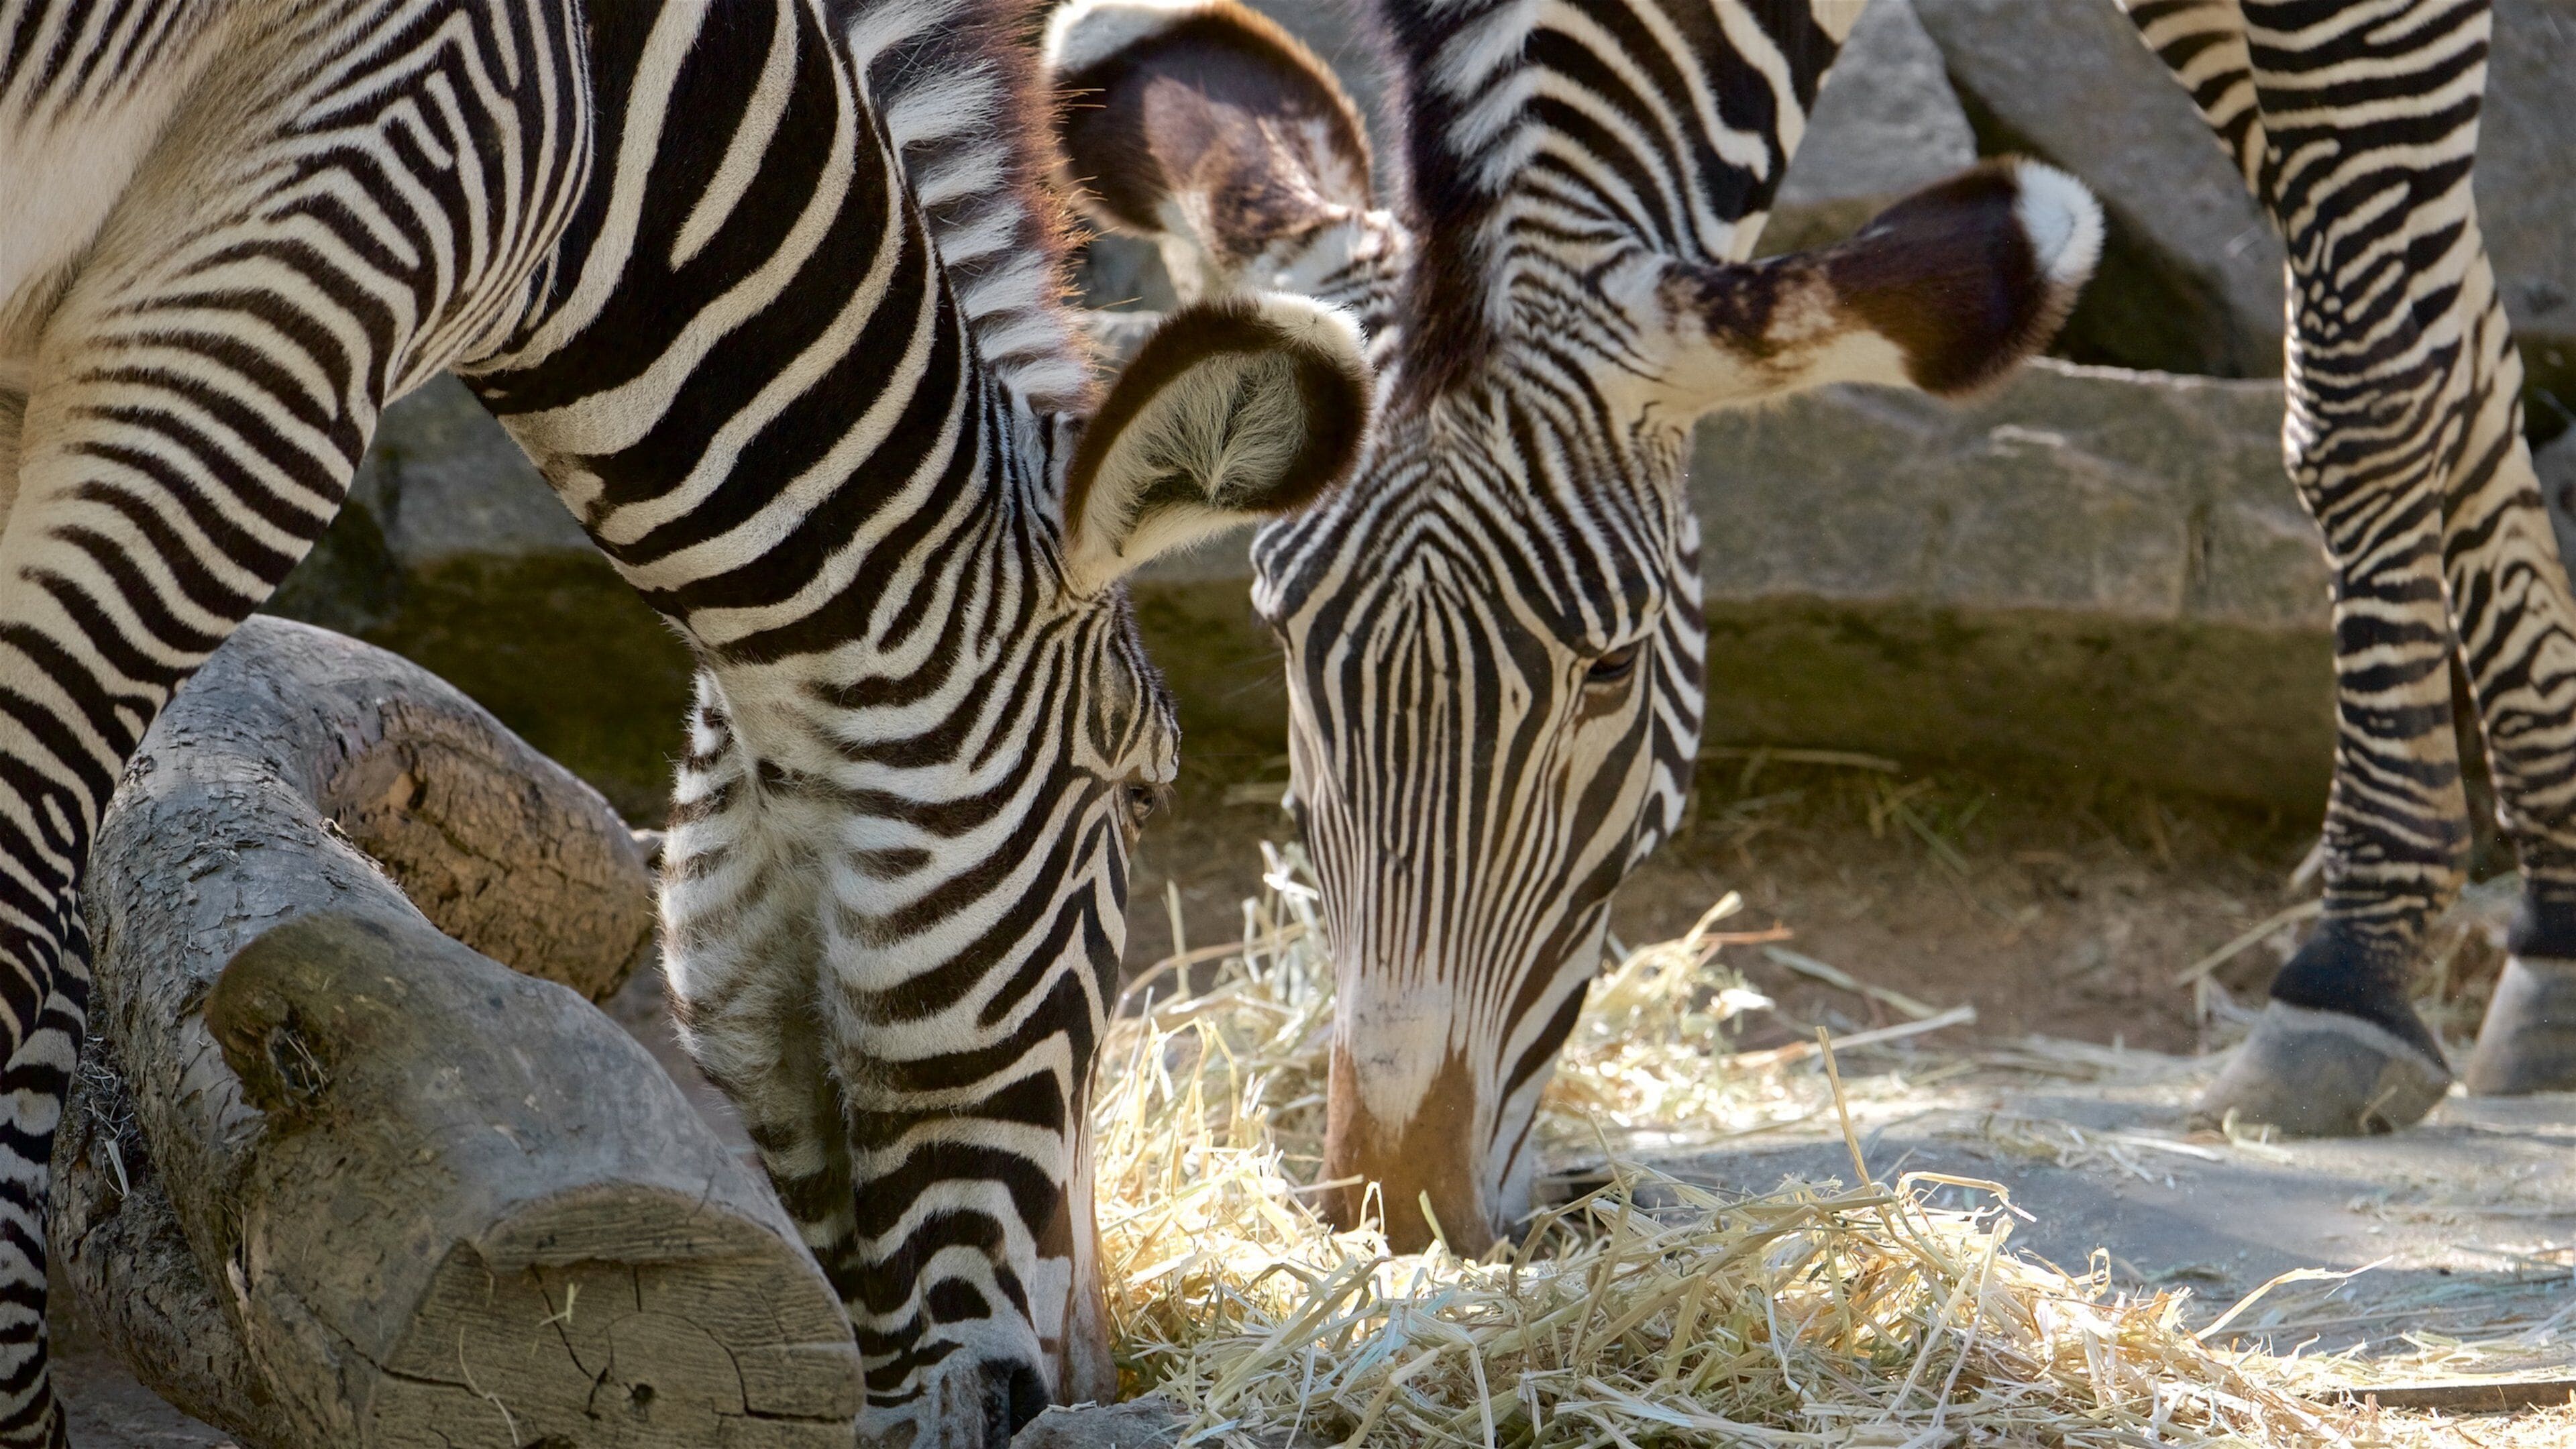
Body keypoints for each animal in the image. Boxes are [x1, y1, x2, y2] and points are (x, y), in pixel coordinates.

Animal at [0, 1, 1370, 1443]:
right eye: (1146, 795)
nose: (1044, 1397)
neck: (641, 144)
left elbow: (52, 971)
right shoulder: (291, 273)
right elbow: (22, 902)